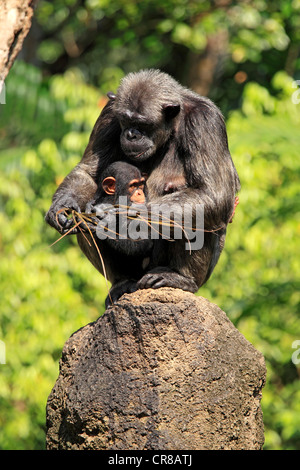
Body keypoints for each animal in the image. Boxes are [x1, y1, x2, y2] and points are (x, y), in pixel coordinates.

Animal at [45, 69, 240, 302]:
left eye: (143, 124)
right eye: (125, 120)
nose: (132, 134)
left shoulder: (205, 122)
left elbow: (212, 193)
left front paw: (114, 219)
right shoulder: (109, 113)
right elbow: (89, 173)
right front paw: (63, 206)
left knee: (195, 214)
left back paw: (179, 278)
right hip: (137, 274)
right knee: (84, 218)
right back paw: (121, 282)